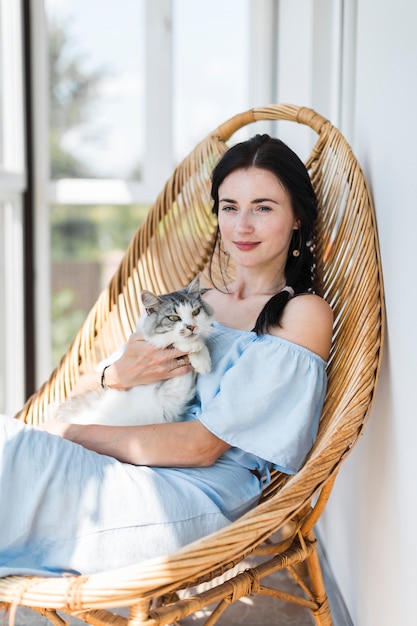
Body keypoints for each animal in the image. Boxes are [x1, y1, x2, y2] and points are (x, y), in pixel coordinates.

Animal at [53, 276, 213, 426]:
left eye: (196, 312)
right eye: (174, 317)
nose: (191, 327)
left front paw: (203, 361)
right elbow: (168, 340)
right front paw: (194, 349)